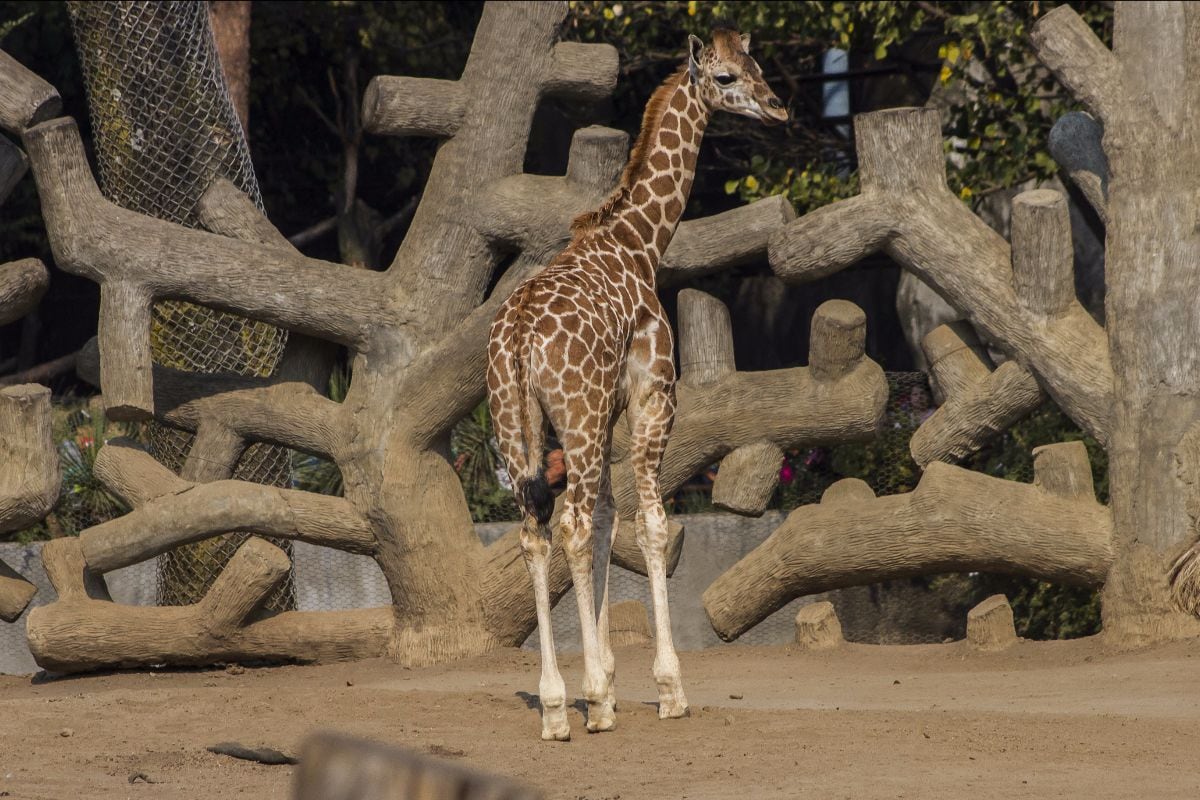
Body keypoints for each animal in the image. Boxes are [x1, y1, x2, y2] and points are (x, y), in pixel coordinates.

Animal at [487, 28, 787, 741]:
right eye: (728, 78)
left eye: (757, 65)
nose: (778, 106)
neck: (640, 242)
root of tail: (517, 343)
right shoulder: (654, 397)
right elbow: (650, 523)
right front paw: (664, 688)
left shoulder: (612, 411)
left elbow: (608, 521)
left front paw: (608, 686)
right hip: (575, 416)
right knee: (567, 524)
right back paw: (583, 701)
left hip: (519, 424)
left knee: (538, 531)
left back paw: (556, 707)